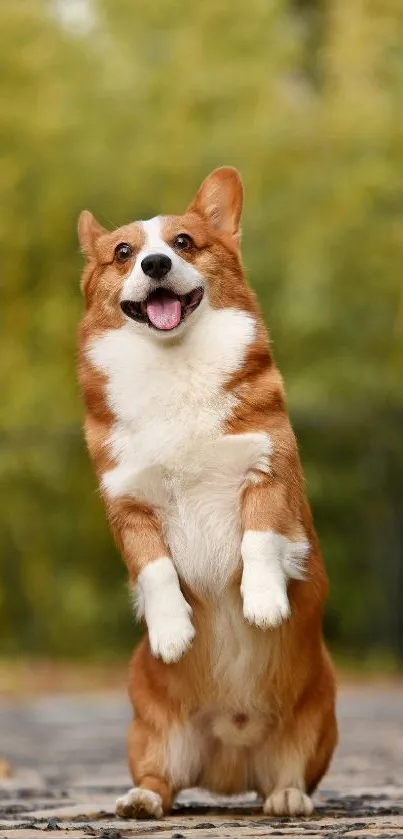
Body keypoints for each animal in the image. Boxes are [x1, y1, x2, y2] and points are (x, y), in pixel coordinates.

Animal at [77, 166, 336, 820]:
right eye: (124, 252)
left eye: (185, 242)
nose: (156, 263)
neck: (174, 367)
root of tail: (228, 763)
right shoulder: (128, 508)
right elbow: (155, 570)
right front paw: (172, 631)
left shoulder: (268, 474)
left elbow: (260, 540)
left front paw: (263, 602)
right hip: (149, 726)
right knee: (163, 780)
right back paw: (140, 800)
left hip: (320, 719)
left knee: (284, 774)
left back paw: (288, 796)